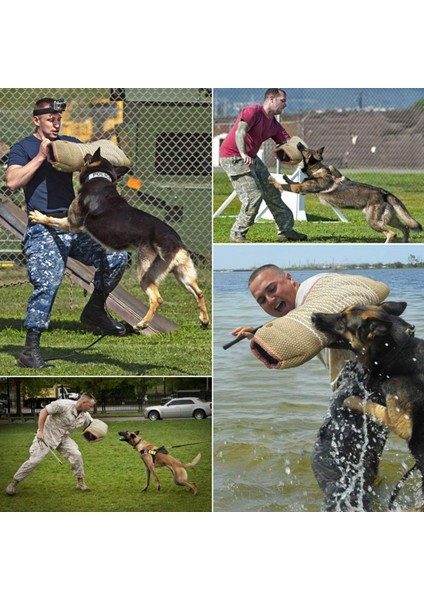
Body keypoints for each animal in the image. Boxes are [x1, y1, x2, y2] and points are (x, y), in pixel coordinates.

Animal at [28, 147, 210, 330]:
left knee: (157, 298)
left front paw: (39, 216)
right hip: (183, 274)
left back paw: (142, 323)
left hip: (145, 274)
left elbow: (54, 219)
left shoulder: (73, 223)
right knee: (199, 292)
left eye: (89, 157)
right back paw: (204, 320)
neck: (99, 177)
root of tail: (175, 241)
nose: (85, 154)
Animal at [270, 142, 422, 243]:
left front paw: (274, 180)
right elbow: (292, 182)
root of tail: (385, 193)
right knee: (405, 227)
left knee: (391, 234)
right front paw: (285, 177)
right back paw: (404, 242)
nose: (299, 143)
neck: (318, 169)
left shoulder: (301, 189)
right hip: (390, 219)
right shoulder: (301, 188)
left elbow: (289, 185)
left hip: (373, 221)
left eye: (306, 150)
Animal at [310, 302, 424, 508]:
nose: (313, 316)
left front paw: (349, 400)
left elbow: (369, 405)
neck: (397, 349)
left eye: (343, 320)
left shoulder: (401, 422)